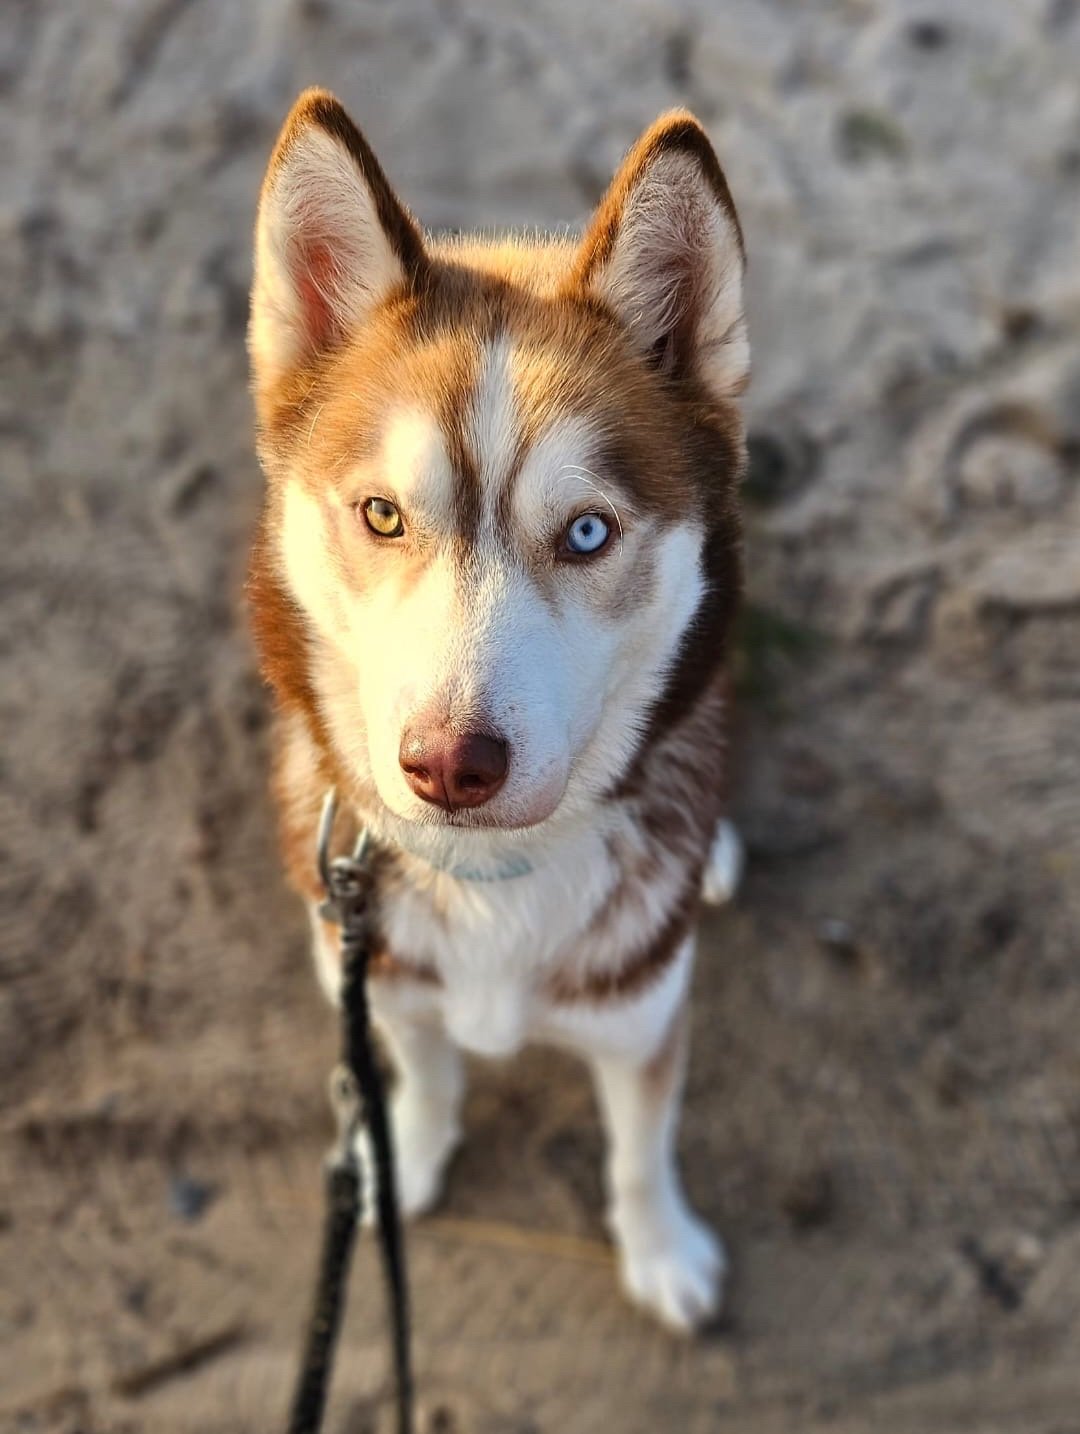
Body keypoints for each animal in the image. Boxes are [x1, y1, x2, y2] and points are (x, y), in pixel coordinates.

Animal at [247, 89, 748, 1333]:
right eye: (382, 514)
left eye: (587, 531)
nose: (448, 765)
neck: (489, 881)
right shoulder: (374, 977)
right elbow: (422, 1077)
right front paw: (405, 1158)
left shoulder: (642, 1014)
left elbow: (640, 1146)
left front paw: (661, 1250)